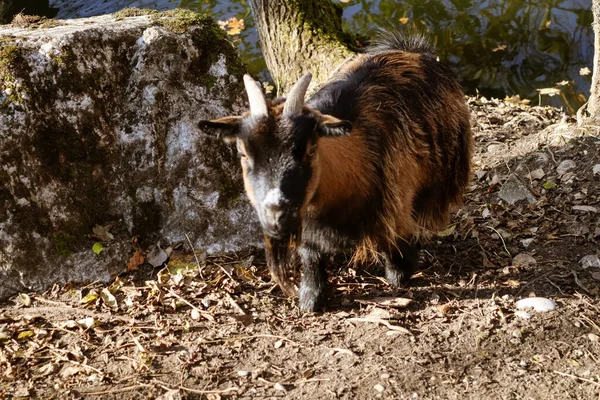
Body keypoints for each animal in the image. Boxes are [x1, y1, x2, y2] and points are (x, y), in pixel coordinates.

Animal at [200, 31, 474, 312]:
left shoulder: (396, 205)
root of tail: (412, 50)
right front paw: (311, 298)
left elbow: (397, 252)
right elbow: (311, 259)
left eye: (310, 150)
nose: (276, 215)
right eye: (243, 153)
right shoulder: (309, 229)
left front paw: (402, 271)